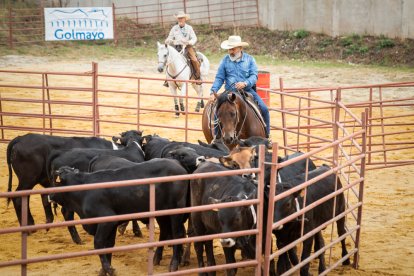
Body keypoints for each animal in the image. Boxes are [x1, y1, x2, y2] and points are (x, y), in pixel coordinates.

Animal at [49, 158, 188, 274]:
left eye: (55, 181)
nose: (49, 195)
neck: (84, 193)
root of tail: (177, 164)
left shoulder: (106, 221)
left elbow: (98, 244)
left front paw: (109, 269)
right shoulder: (112, 224)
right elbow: (108, 245)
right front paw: (104, 270)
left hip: (176, 211)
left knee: (177, 234)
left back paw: (174, 264)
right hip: (162, 213)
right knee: (165, 232)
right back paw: (156, 259)